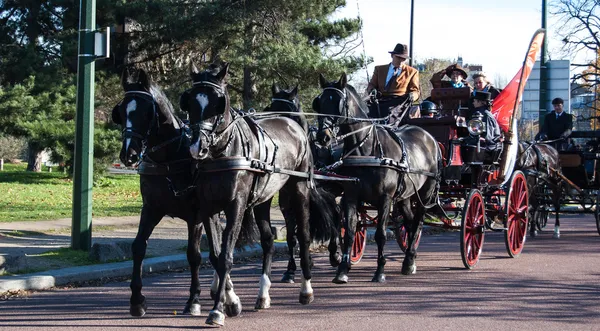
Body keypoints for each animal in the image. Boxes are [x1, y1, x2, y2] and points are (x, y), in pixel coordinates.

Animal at [111, 68, 221, 318]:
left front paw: (194, 299)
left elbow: (194, 255)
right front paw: (137, 300)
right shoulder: (151, 208)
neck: (170, 158)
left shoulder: (196, 216)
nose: (129, 155)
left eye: (146, 111)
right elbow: (138, 247)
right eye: (121, 111)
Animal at [178, 63, 338, 326]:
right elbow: (216, 254)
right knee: (268, 241)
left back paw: (306, 289)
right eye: (189, 102)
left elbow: (226, 256)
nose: (196, 147)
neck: (223, 153)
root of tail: (295, 127)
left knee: (303, 235)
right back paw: (263, 295)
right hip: (263, 199)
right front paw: (229, 300)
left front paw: (218, 309)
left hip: (298, 189)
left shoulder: (236, 204)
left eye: (218, 103)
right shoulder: (208, 207)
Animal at [314, 74, 440, 284]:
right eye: (319, 102)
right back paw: (410, 258)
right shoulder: (351, 196)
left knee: (418, 222)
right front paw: (342, 270)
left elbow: (381, 234)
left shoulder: (385, 198)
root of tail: (429, 137)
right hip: (405, 196)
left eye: (339, 103)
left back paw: (409, 261)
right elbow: (350, 231)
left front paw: (380, 271)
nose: (323, 137)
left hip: (426, 192)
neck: (366, 149)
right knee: (409, 222)